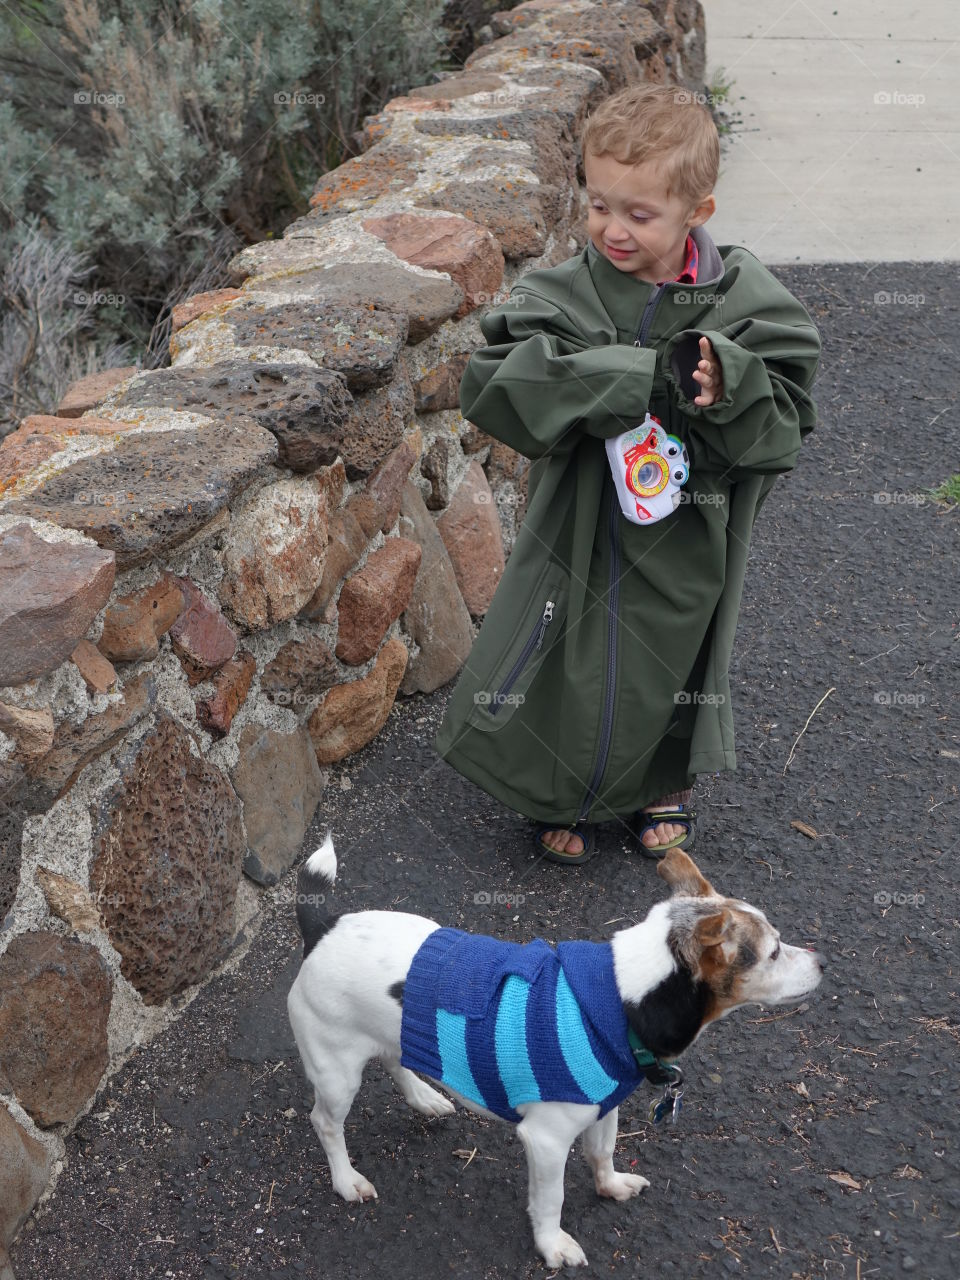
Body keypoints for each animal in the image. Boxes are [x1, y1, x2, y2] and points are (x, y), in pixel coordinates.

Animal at [289, 834, 824, 1264]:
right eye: (774, 952)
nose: (822, 961)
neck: (618, 998)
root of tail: (323, 926)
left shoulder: (603, 1107)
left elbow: (602, 1153)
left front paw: (611, 1186)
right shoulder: (545, 1142)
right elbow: (551, 1201)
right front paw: (552, 1246)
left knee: (397, 1059)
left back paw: (425, 1097)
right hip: (337, 1075)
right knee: (326, 1123)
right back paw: (346, 1179)